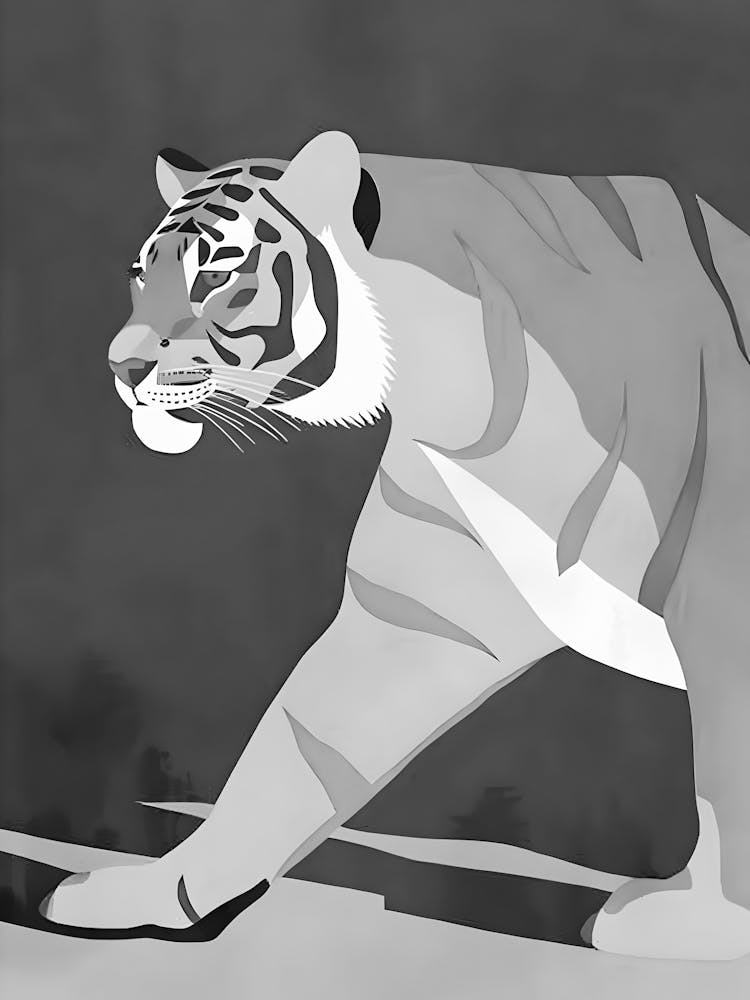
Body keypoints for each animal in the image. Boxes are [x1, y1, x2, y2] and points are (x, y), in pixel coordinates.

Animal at [43, 130, 750, 960]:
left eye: (216, 273)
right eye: (138, 273)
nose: (121, 368)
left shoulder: (725, 602)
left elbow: (728, 770)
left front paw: (706, 920)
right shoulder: (416, 614)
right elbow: (292, 754)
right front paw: (158, 892)